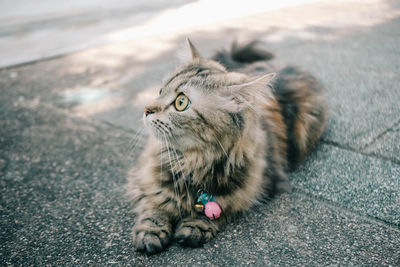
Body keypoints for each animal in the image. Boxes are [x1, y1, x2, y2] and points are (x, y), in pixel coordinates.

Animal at [126, 38, 326, 254]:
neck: (192, 163)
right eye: (160, 91)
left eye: (181, 102)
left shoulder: (256, 186)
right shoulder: (144, 175)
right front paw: (151, 230)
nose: (146, 109)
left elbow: (220, 207)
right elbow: (155, 204)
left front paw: (196, 225)